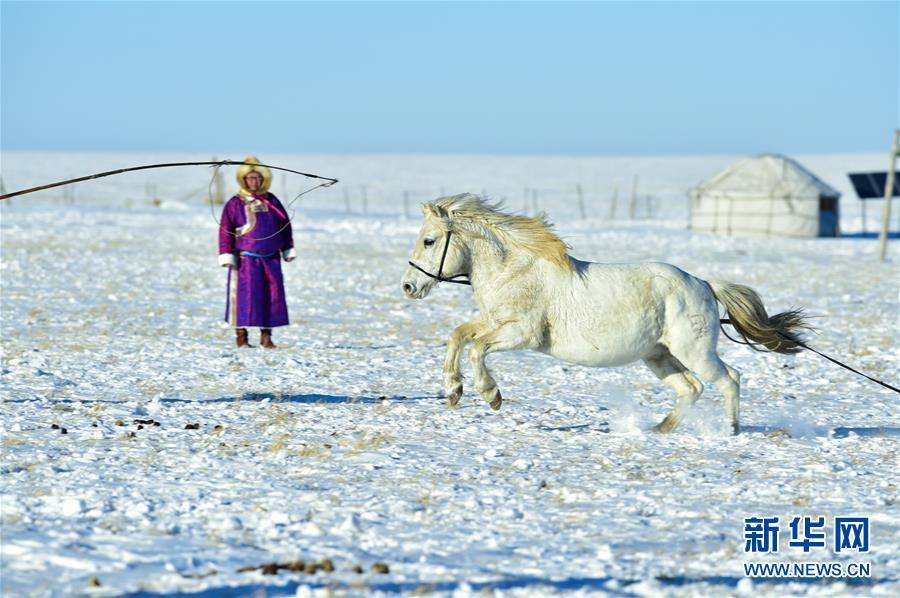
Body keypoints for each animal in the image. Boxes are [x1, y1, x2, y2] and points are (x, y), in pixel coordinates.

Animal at [401, 194, 809, 434]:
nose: (408, 286)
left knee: (729, 379)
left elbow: (476, 348)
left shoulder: (521, 334)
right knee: (691, 388)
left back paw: (730, 430)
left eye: (429, 241)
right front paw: (453, 390)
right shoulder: (492, 324)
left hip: (694, 352)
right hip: (659, 357)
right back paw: (660, 429)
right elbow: (458, 335)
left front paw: (491, 394)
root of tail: (704, 285)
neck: (515, 270)